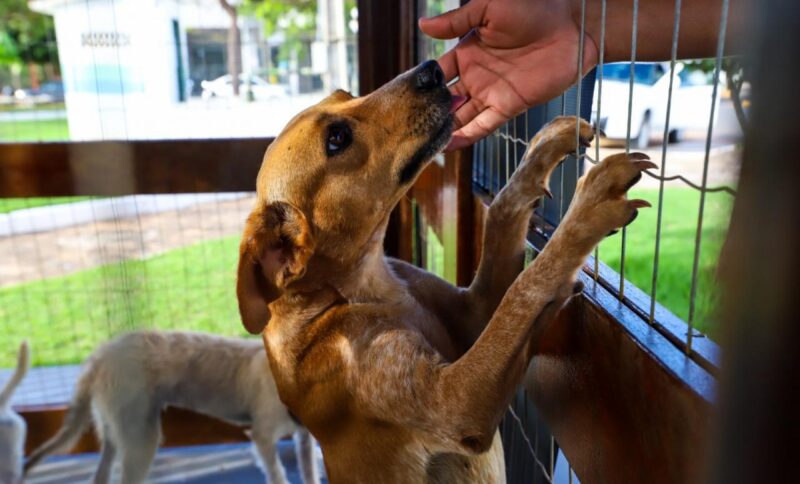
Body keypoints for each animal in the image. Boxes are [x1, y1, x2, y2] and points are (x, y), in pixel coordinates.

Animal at [25, 330, 318, 484]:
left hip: (114, 433)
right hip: (141, 439)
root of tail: (101, 356)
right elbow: (278, 474)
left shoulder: (304, 439)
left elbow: (310, 472)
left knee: (101, 473)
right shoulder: (262, 437)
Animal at [233, 59, 656, 480]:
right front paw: (587, 209)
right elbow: (525, 288)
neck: (354, 293)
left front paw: (544, 148)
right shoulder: (456, 402)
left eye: (347, 95)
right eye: (337, 138)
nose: (432, 69)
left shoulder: (475, 312)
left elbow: (503, 211)